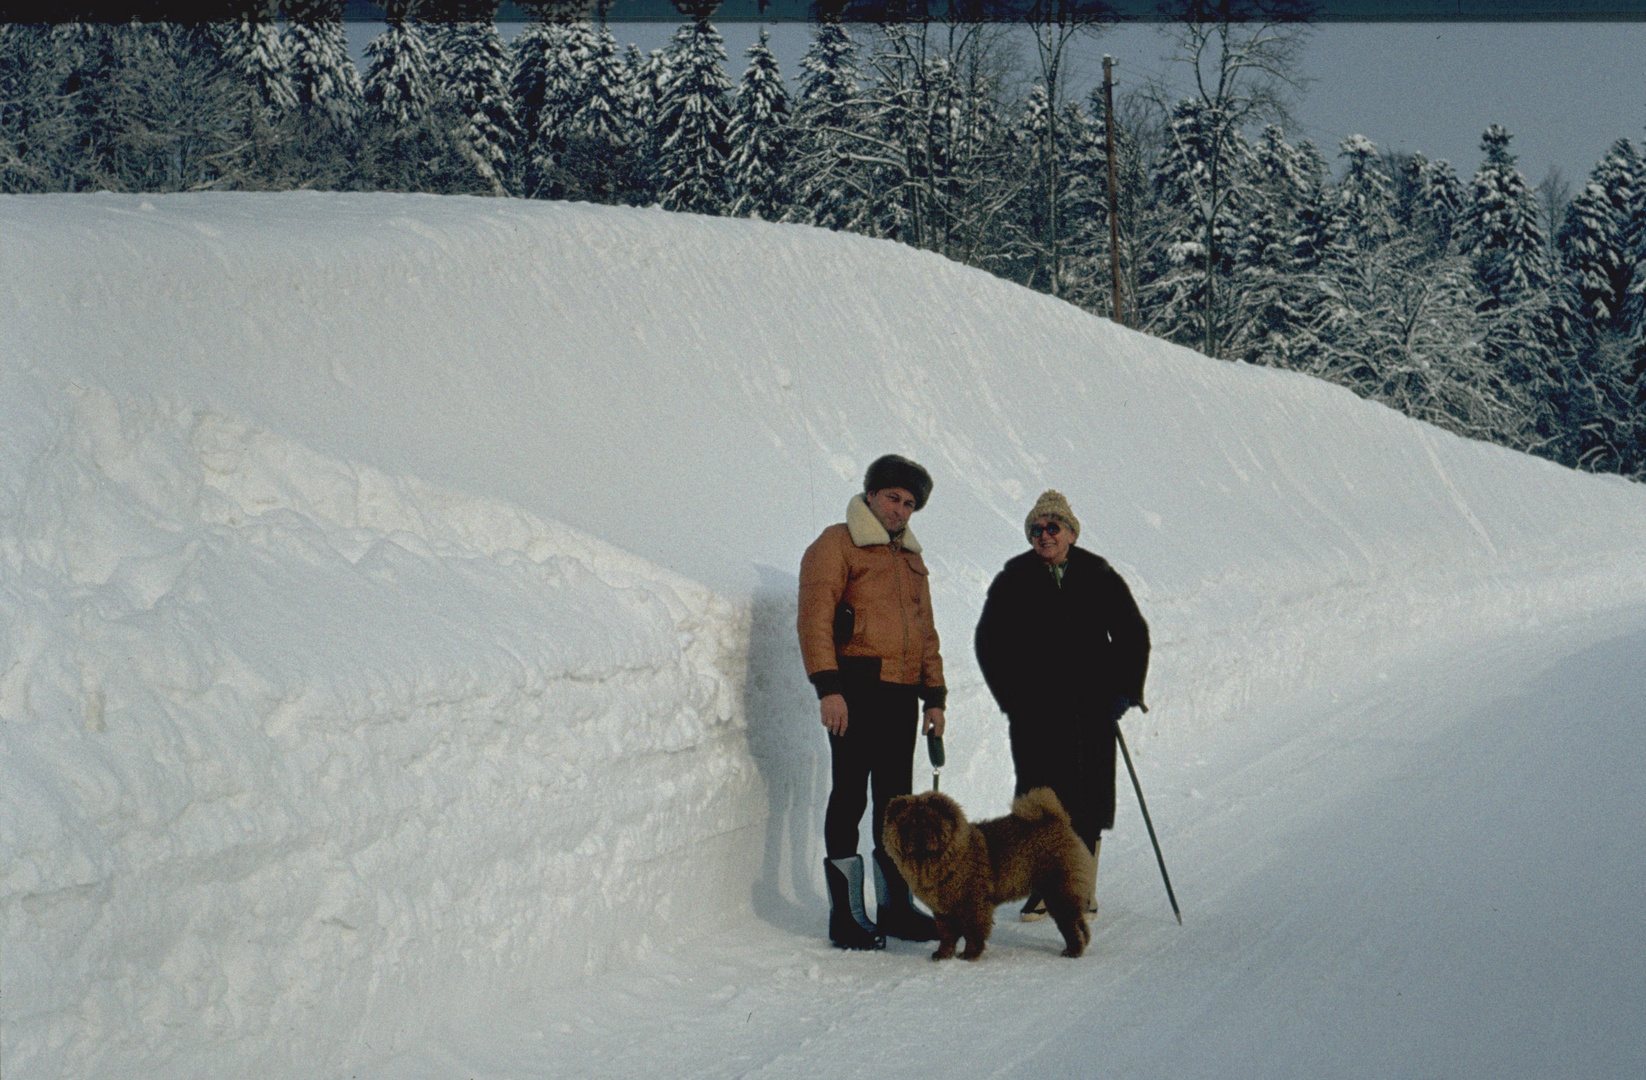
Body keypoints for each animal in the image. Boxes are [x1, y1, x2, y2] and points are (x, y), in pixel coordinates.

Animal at [882, 783, 1099, 961]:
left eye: (930, 823)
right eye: (907, 824)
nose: (918, 836)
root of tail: (1056, 819)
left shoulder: (972, 902)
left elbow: (973, 932)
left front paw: (969, 955)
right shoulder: (943, 909)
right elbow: (947, 935)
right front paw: (942, 954)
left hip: (1058, 890)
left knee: (1069, 924)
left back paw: (1073, 950)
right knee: (1078, 921)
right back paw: (1084, 942)